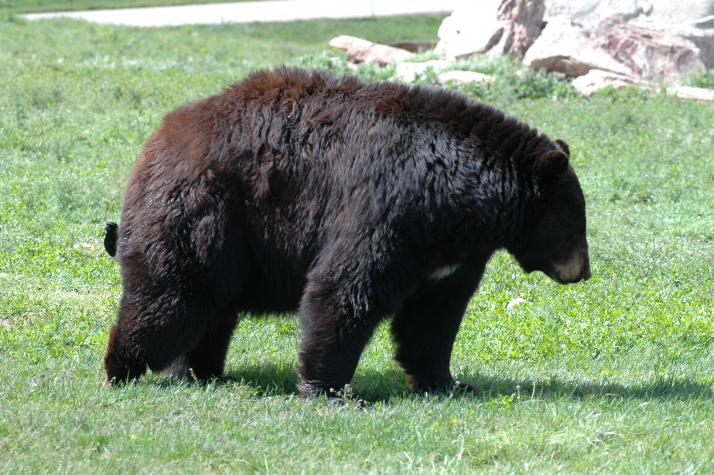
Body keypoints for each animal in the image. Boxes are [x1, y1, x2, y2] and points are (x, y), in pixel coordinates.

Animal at [101, 67, 588, 400]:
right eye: (574, 226)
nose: (582, 272)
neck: (460, 201)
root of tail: (160, 137)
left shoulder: (450, 255)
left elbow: (434, 315)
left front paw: (445, 381)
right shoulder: (389, 208)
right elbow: (347, 288)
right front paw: (326, 388)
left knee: (210, 308)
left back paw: (197, 370)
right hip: (204, 210)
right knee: (172, 295)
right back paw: (120, 369)